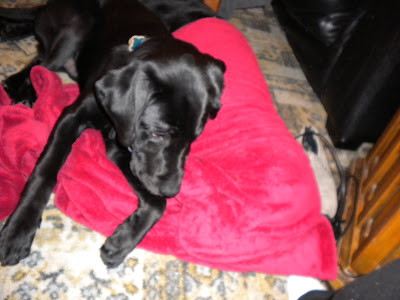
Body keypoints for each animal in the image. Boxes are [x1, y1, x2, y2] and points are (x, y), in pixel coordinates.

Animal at [0, 0, 225, 268]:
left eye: (194, 138)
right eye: (158, 133)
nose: (172, 190)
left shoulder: (122, 146)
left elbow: (157, 204)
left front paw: (122, 242)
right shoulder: (70, 117)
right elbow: (45, 172)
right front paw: (19, 229)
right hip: (75, 29)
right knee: (36, 65)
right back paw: (23, 91)